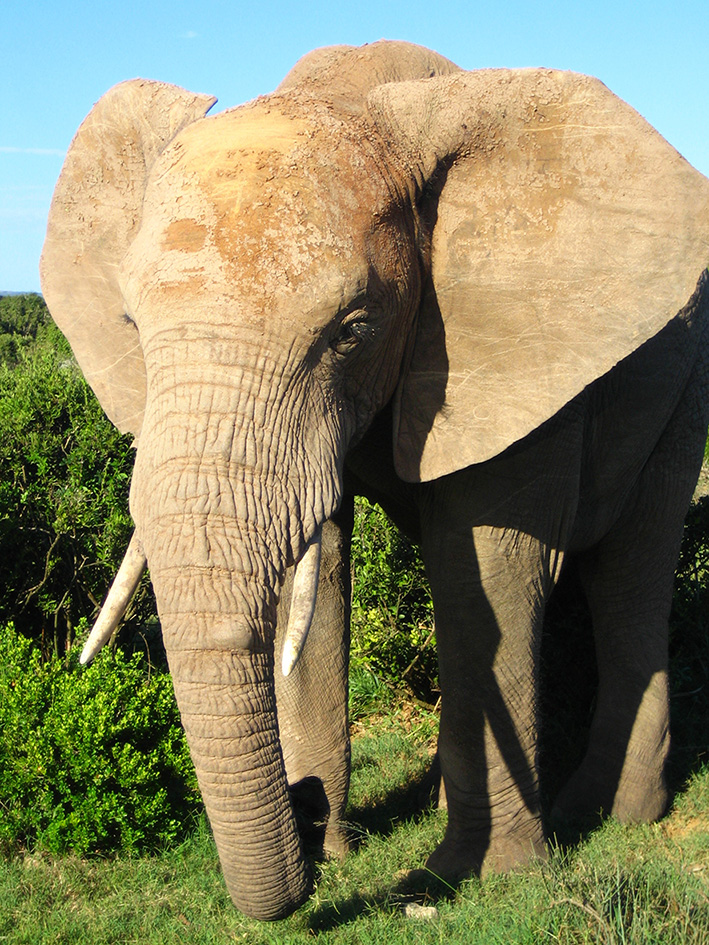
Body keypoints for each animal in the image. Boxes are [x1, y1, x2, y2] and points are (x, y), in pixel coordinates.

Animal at [40, 40, 708, 920]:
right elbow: (316, 568)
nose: (305, 804)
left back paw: (608, 813)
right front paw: (335, 846)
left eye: (351, 331)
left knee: (627, 574)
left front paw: (481, 877)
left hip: (685, 388)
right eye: (129, 324)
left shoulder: (511, 350)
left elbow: (488, 573)